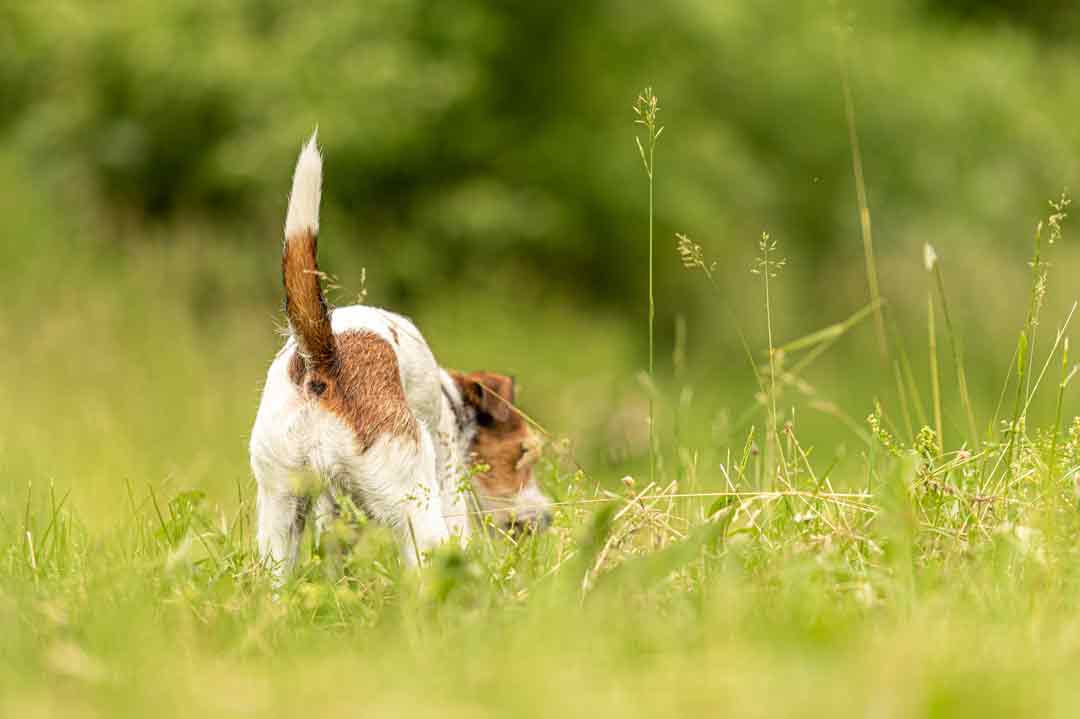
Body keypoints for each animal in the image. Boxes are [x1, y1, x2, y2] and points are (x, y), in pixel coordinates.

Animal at [249, 130, 552, 578]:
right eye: (524, 452)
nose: (547, 518)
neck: (450, 398)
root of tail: (324, 357)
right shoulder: (448, 480)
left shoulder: (331, 513)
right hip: (415, 505)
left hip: (280, 510)